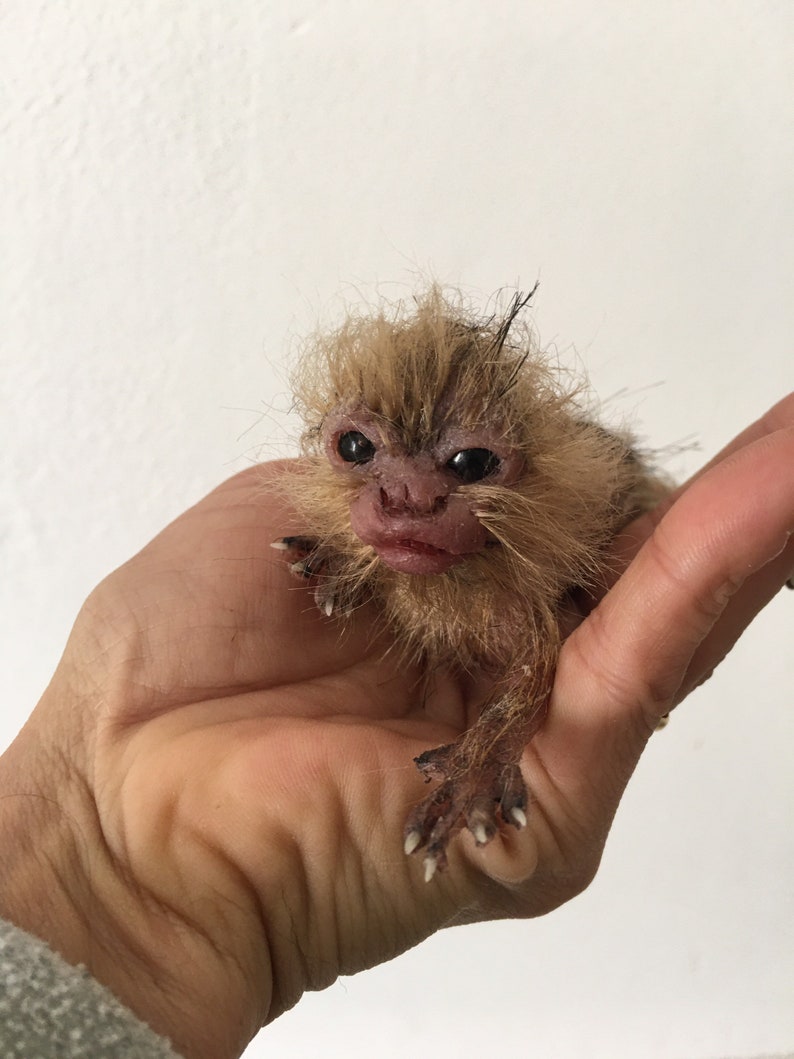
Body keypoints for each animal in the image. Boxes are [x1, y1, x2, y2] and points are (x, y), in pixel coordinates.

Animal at [271, 285, 669, 881]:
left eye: (471, 462)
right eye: (356, 448)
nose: (407, 497)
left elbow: (530, 679)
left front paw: (472, 774)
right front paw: (342, 558)